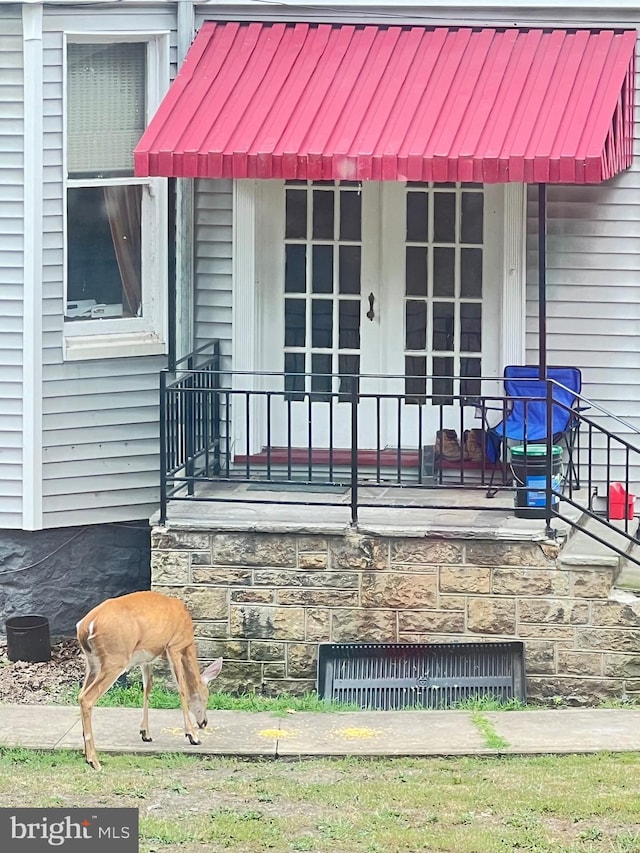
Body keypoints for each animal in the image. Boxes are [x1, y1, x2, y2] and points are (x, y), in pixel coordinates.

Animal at [76, 588, 222, 768]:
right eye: (206, 697)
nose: (204, 722)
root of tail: (87, 625)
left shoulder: (147, 658)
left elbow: (147, 687)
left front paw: (145, 733)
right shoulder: (174, 645)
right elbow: (181, 688)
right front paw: (192, 736)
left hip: (93, 663)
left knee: (81, 693)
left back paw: (86, 753)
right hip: (115, 658)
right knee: (86, 698)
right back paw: (93, 760)